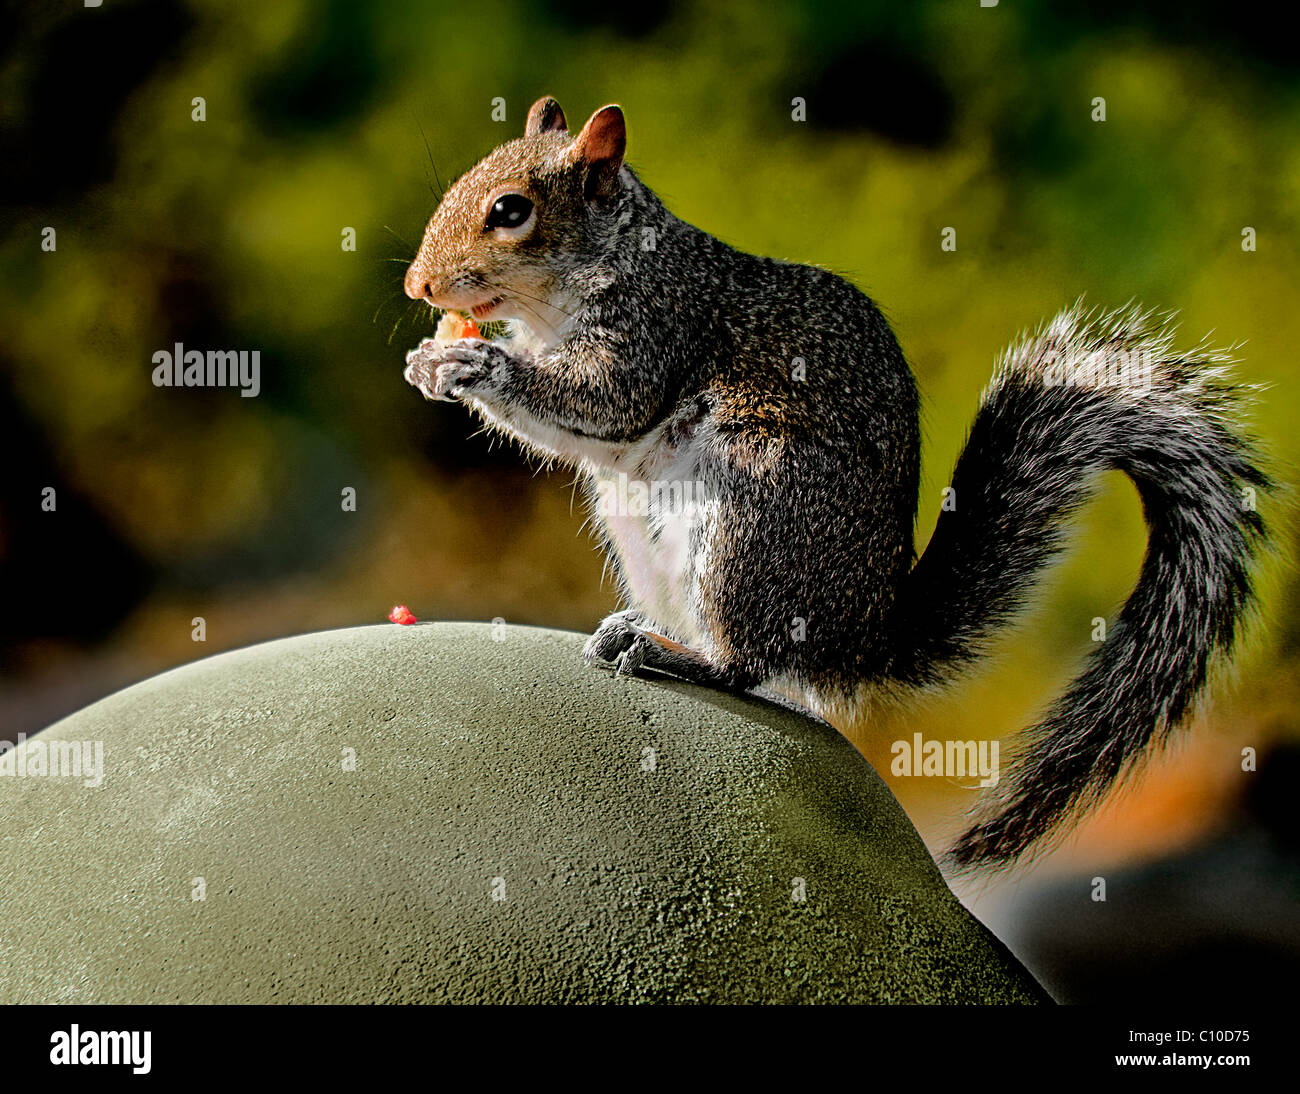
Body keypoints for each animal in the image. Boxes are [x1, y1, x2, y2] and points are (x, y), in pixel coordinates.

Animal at [401, 97, 1270, 871]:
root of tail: (859, 638)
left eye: (511, 210)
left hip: (750, 521)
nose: (418, 287)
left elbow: (603, 400)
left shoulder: (655, 329)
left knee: (748, 665)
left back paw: (670, 655)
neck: (603, 265)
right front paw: (427, 362)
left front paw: (472, 362)